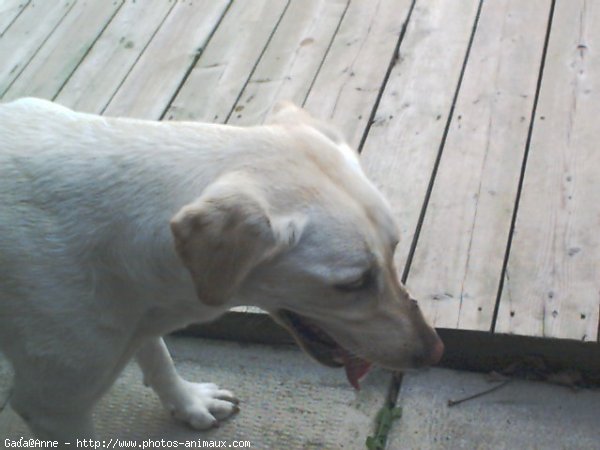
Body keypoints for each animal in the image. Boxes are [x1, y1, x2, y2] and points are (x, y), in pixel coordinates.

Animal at [0, 97, 440, 440]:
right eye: (352, 283)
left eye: (395, 248)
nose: (434, 352)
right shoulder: (56, 408)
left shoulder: (138, 314)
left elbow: (159, 356)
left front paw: (189, 402)